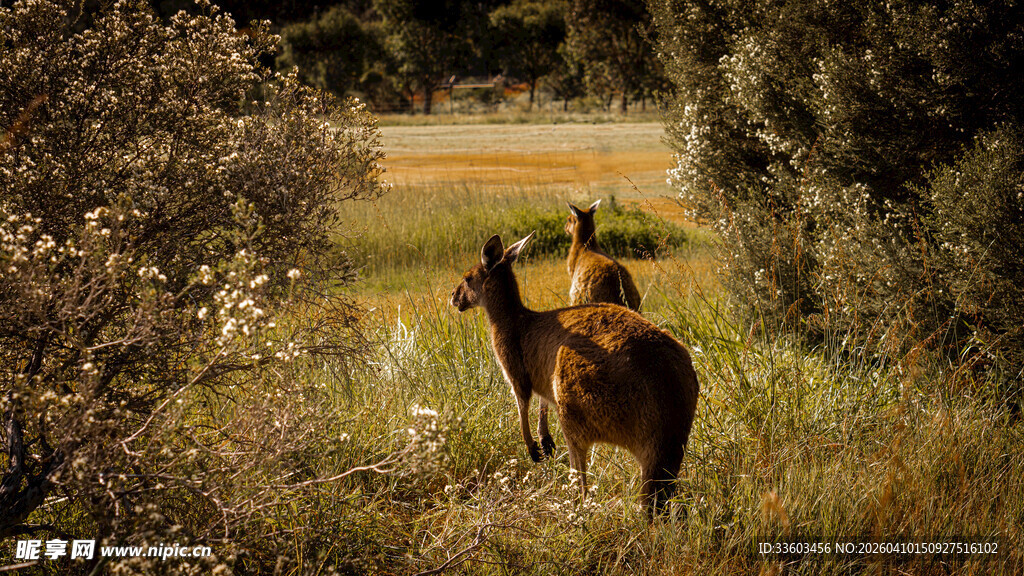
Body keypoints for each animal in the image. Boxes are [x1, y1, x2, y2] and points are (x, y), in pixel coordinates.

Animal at [450, 232, 699, 516]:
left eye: (467, 278)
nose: (453, 297)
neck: (511, 319)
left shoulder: (515, 368)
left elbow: (522, 403)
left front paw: (533, 449)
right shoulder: (542, 379)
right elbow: (542, 403)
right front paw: (545, 442)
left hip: (575, 388)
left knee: (579, 464)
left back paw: (575, 503)